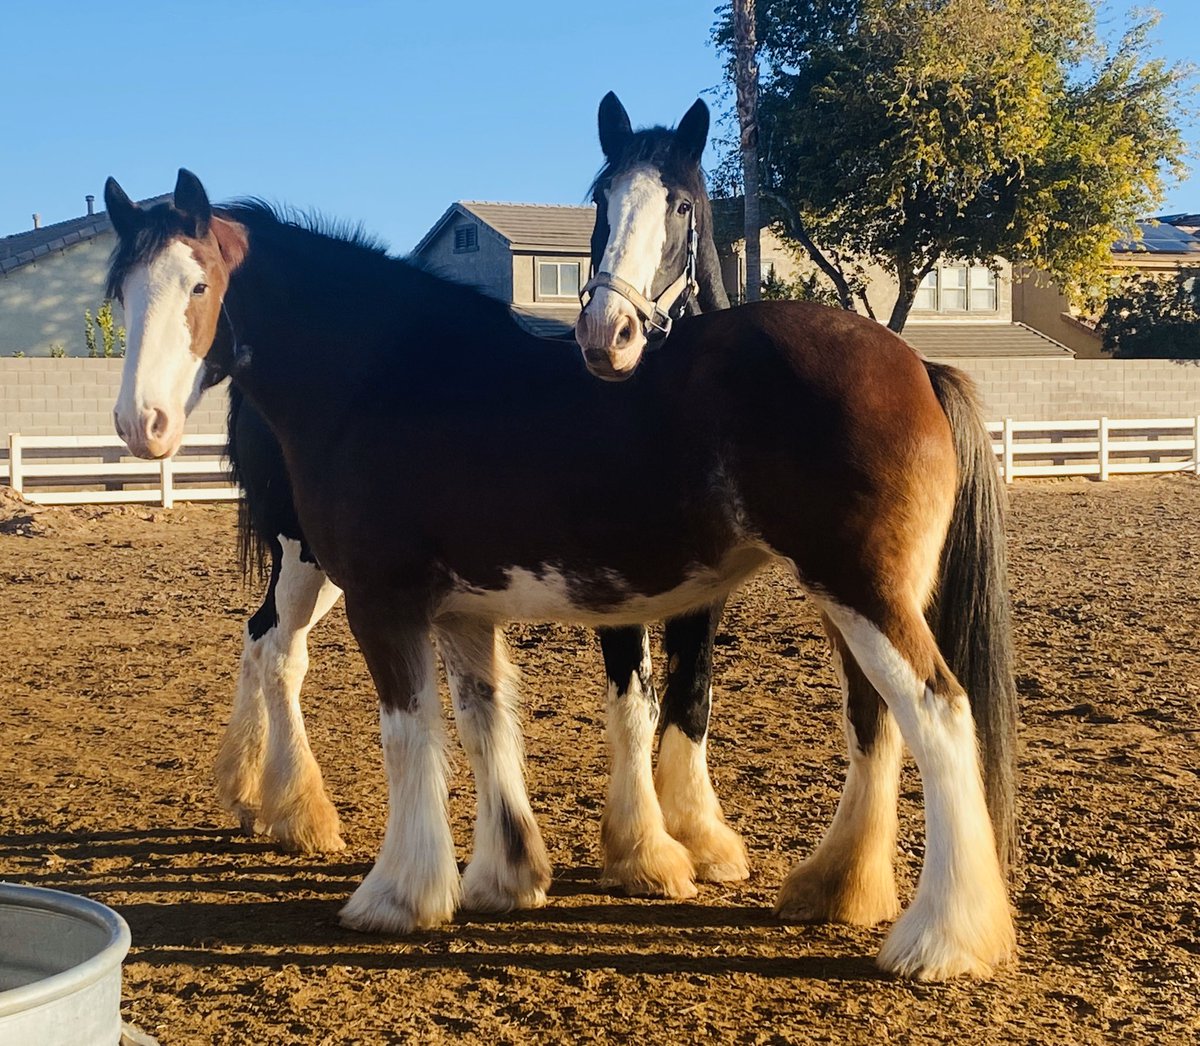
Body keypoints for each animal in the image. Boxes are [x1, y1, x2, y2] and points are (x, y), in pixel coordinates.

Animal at [105, 169, 1017, 980]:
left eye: (197, 284)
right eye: (119, 292)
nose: (142, 423)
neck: (382, 374)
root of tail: (916, 366)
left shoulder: (384, 602)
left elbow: (409, 735)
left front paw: (398, 894)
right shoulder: (462, 613)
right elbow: (484, 723)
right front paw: (504, 876)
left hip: (861, 592)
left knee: (937, 713)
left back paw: (940, 939)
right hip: (850, 599)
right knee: (875, 720)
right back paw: (835, 890)